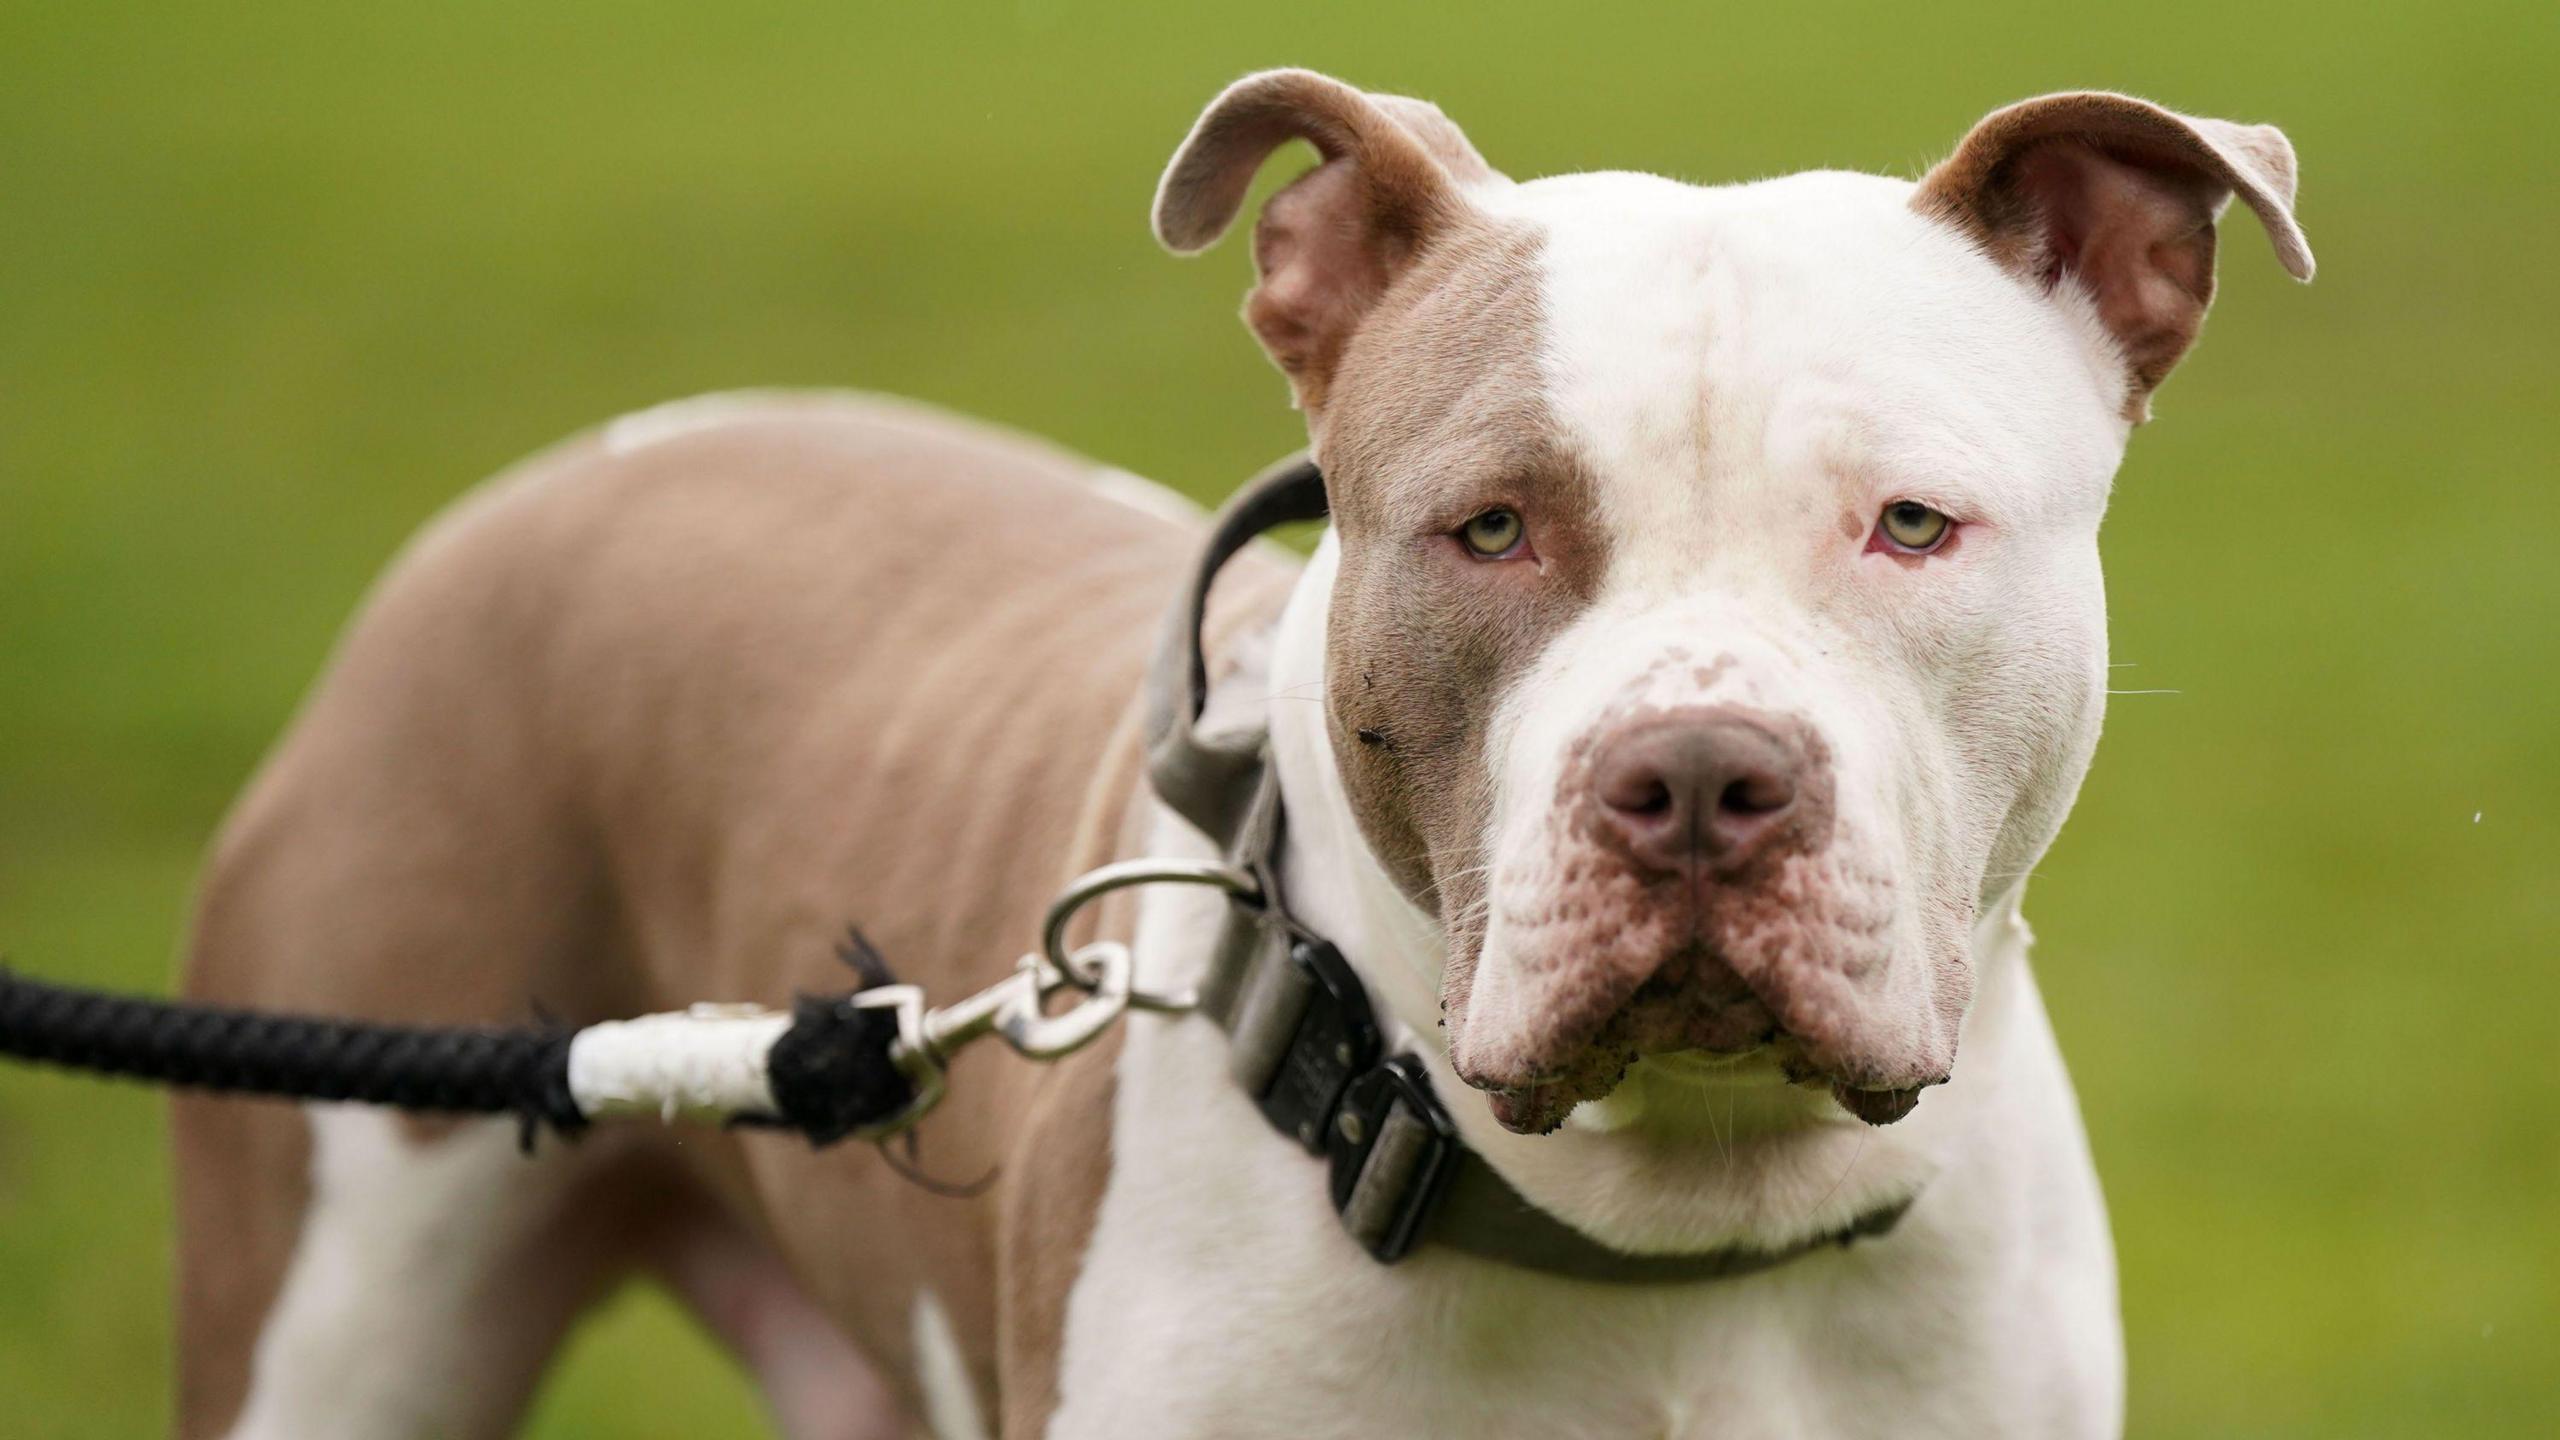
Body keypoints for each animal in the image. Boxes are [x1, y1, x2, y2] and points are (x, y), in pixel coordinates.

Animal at [170, 67, 2314, 1434]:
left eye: (1911, 525)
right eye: (1489, 528)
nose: (1701, 780)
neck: (1676, 1242)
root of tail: (575, 469)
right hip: (342, 1298)